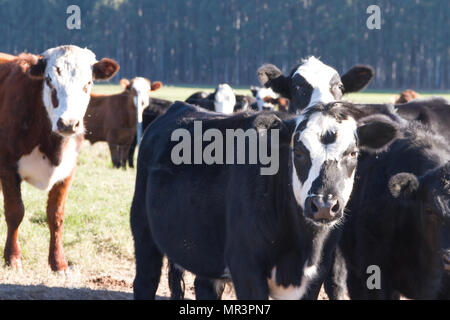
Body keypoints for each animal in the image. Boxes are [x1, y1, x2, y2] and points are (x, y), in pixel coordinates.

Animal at [0, 44, 119, 270]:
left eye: (88, 83)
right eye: (49, 80)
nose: (68, 124)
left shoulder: (67, 171)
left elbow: (56, 215)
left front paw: (58, 262)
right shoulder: (8, 168)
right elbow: (15, 212)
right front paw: (12, 257)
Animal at [129, 100, 398, 300]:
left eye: (352, 153)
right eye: (298, 151)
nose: (323, 206)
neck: (300, 247)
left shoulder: (316, 275)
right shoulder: (246, 267)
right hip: (143, 232)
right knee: (145, 281)